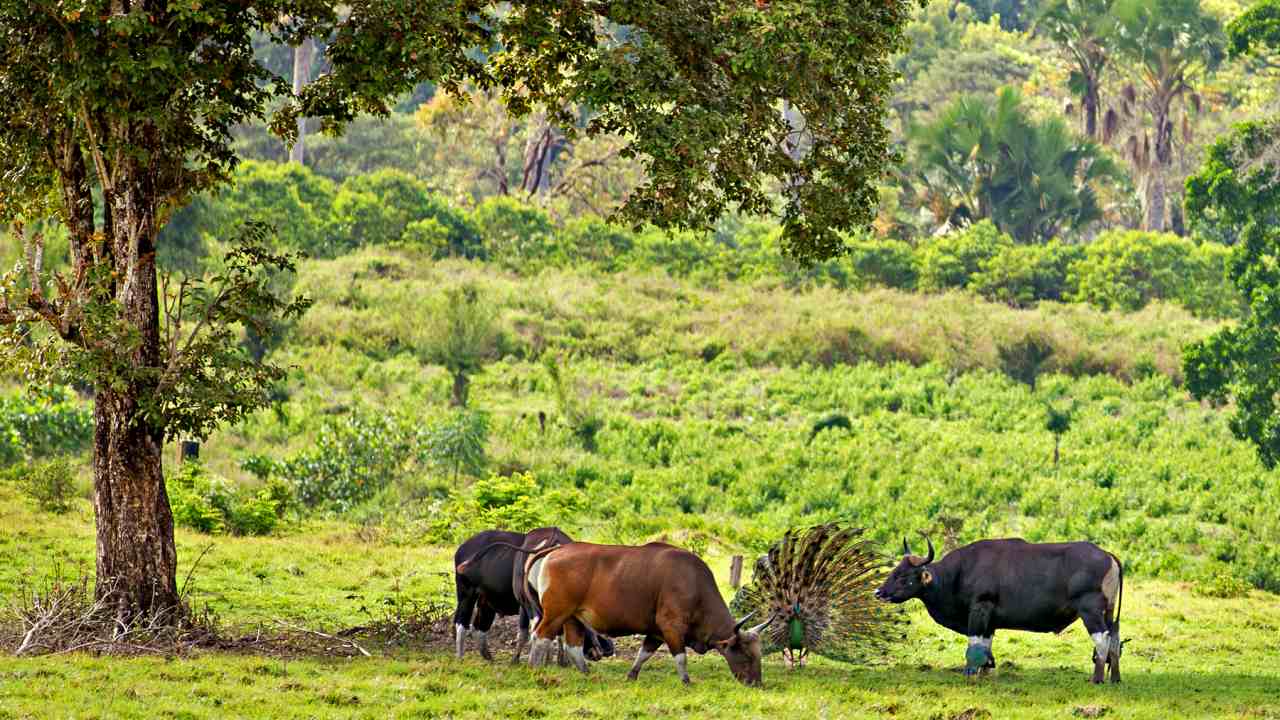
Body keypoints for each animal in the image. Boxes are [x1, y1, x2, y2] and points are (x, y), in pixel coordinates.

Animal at [455, 527, 614, 661]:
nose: (599, 652)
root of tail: (463, 548)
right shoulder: (525, 605)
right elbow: (526, 634)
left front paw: (558, 661)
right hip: (466, 595)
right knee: (461, 623)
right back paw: (460, 657)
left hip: (486, 602)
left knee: (480, 627)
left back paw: (488, 657)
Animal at [517, 538, 768, 681]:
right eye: (746, 655)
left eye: (759, 654)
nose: (756, 683)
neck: (695, 585)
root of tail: (554, 551)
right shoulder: (671, 626)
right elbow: (681, 657)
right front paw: (686, 681)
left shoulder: (656, 631)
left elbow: (644, 654)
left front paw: (631, 675)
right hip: (555, 613)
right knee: (540, 636)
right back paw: (535, 669)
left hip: (573, 617)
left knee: (573, 646)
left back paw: (587, 674)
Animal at [875, 535, 1126, 681]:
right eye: (893, 571)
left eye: (903, 576)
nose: (879, 592)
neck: (958, 574)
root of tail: (1108, 556)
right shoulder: (989, 620)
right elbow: (986, 645)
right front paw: (986, 671)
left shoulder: (979, 610)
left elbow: (974, 642)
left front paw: (971, 672)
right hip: (1110, 612)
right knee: (1114, 638)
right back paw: (1115, 678)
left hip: (1090, 612)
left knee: (1102, 639)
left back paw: (1097, 678)